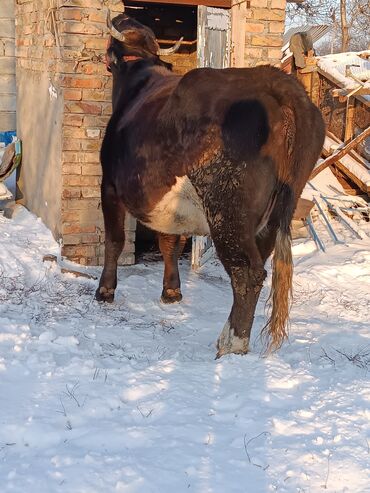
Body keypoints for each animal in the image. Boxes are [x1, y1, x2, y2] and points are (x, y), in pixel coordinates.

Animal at [97, 12, 326, 358]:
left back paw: (232, 344)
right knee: (260, 263)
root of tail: (277, 82)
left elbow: (114, 240)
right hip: (274, 214)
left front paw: (105, 291)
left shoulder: (109, 184)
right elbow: (170, 241)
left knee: (248, 272)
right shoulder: (167, 204)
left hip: (227, 209)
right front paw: (171, 291)